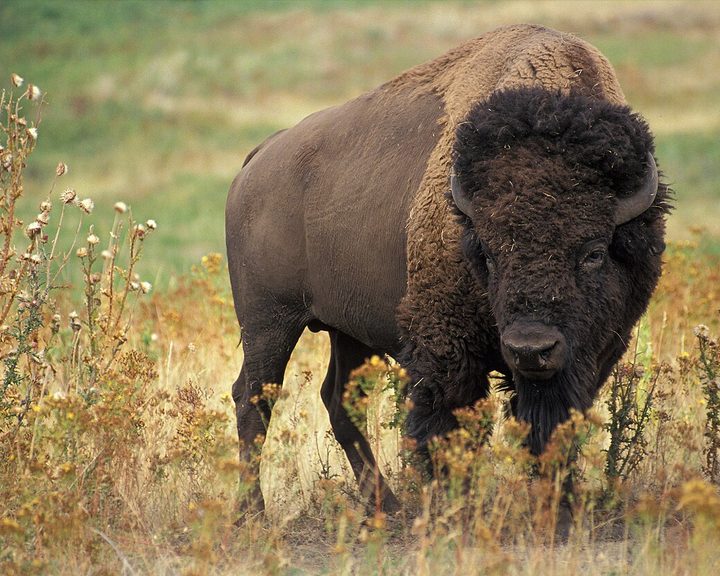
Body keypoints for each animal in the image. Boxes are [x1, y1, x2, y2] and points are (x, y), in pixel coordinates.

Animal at [225, 24, 670, 514]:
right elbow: (446, 427)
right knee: (254, 398)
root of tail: (260, 157)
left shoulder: (591, 355)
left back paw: (386, 507)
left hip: (347, 329)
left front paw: (558, 506)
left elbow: (552, 428)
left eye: (593, 252)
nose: (530, 348)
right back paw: (253, 512)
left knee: (338, 400)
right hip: (269, 321)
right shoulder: (446, 350)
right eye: (488, 254)